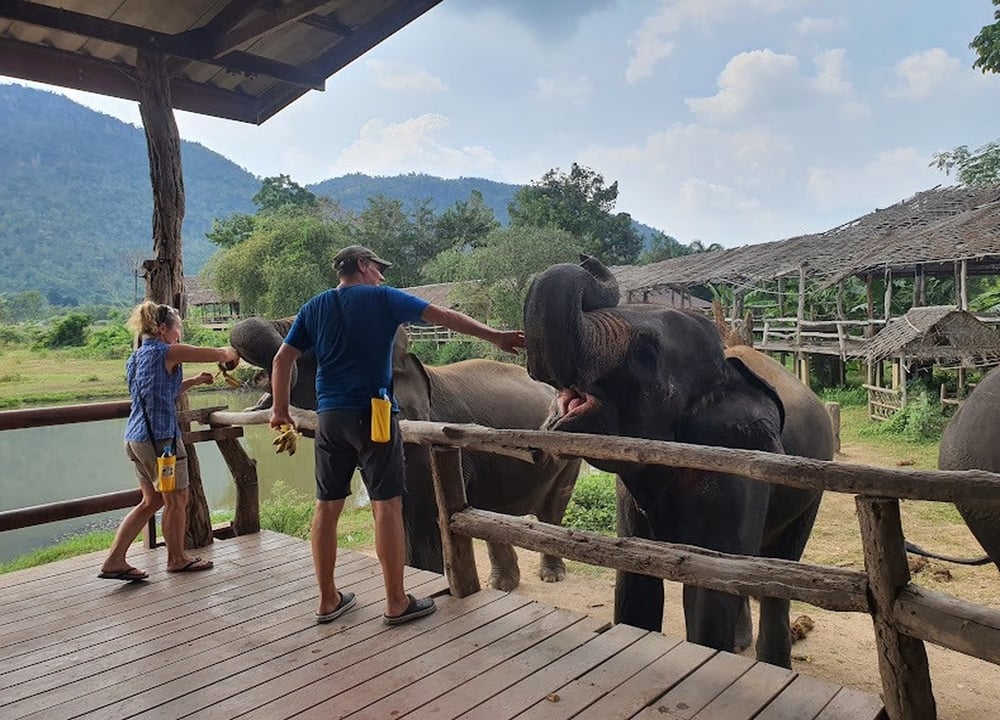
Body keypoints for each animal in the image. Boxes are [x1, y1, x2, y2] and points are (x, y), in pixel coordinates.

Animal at [520, 256, 832, 668]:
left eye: (646, 354)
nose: (589, 260)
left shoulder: (737, 470)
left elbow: (709, 593)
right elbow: (636, 582)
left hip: (810, 489)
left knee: (780, 573)